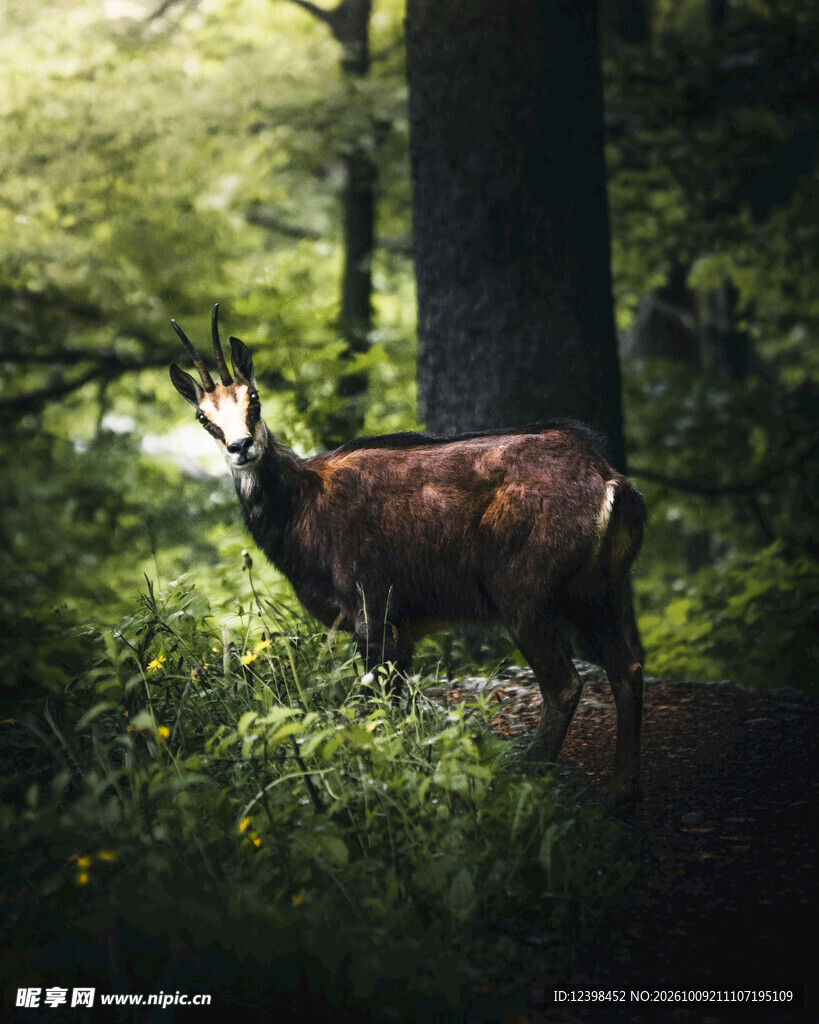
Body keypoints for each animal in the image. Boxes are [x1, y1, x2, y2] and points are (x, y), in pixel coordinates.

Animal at [170, 306, 647, 809]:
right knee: (628, 671)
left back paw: (530, 780)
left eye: (254, 398)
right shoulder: (403, 628)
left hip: (524, 595)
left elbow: (377, 709)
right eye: (203, 416)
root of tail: (610, 481)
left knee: (564, 685)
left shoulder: (373, 611)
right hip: (597, 592)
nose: (241, 447)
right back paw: (622, 791)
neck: (301, 510)